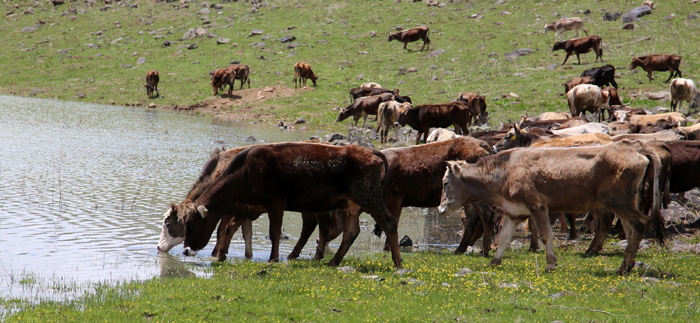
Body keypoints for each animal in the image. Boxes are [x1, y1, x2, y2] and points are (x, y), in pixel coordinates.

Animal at [176, 143, 404, 270]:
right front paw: (222, 254)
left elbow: (274, 233)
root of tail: (370, 152)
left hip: (370, 198)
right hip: (351, 206)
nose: (185, 250)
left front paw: (273, 259)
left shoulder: (276, 204)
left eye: (192, 225)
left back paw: (398, 263)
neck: (246, 170)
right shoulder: (249, 208)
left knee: (389, 223)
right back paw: (333, 262)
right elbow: (231, 227)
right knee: (351, 232)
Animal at [440, 140, 664, 274]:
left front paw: (550, 263)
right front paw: (495, 261)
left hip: (618, 201)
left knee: (639, 223)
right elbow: (504, 237)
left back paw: (624, 266)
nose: (441, 209)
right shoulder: (515, 212)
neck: (504, 171)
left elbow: (546, 235)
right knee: (629, 228)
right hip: (625, 202)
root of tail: (636, 149)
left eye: (445, 183)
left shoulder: (537, 205)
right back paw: (627, 264)